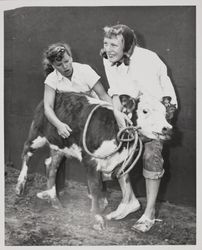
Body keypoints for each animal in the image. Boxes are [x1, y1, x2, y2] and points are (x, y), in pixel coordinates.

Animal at [15, 91, 172, 229]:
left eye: (165, 112)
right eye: (145, 111)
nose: (167, 128)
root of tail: (57, 94)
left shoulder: (120, 161)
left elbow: (115, 184)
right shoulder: (91, 160)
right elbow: (95, 188)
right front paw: (97, 218)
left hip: (60, 146)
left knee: (51, 165)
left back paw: (54, 199)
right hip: (37, 134)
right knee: (26, 151)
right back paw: (20, 185)